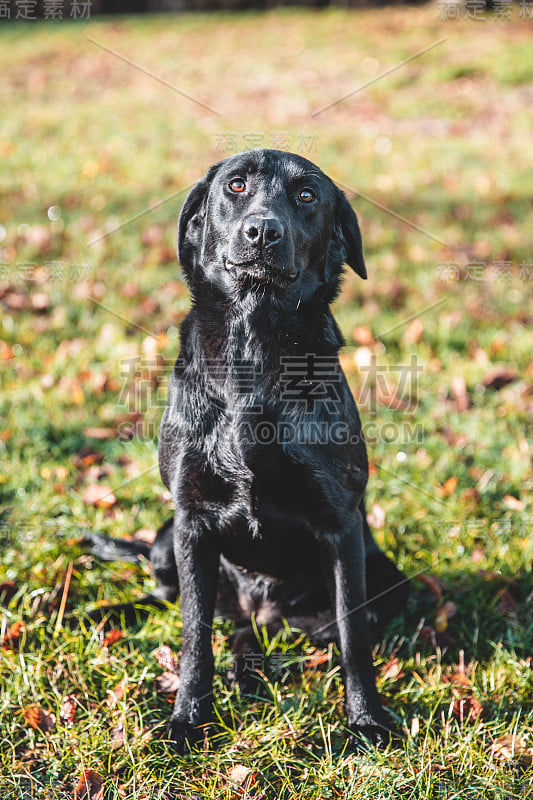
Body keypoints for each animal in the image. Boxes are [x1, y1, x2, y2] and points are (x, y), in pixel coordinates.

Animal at [85, 152, 408, 756]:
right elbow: (193, 636)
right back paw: (106, 613)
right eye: (236, 186)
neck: (254, 351)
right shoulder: (190, 521)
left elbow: (353, 638)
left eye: (306, 195)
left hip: (384, 578)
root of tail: (258, 612)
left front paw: (366, 720)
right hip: (166, 538)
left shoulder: (341, 525)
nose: (262, 230)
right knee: (171, 598)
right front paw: (189, 719)